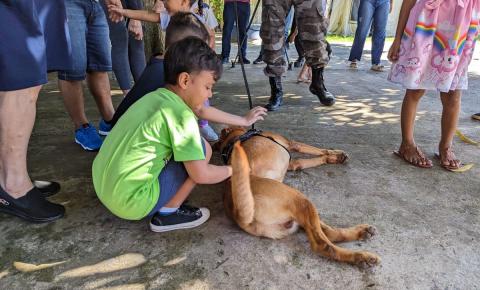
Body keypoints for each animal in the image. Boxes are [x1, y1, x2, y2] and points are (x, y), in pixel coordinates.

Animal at [216, 128, 380, 268]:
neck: (236, 137)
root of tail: (238, 213)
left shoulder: (293, 164)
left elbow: (307, 160)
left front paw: (332, 158)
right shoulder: (292, 144)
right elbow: (319, 150)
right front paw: (334, 155)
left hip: (300, 208)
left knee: (329, 232)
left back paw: (361, 233)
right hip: (299, 199)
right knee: (322, 244)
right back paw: (360, 257)